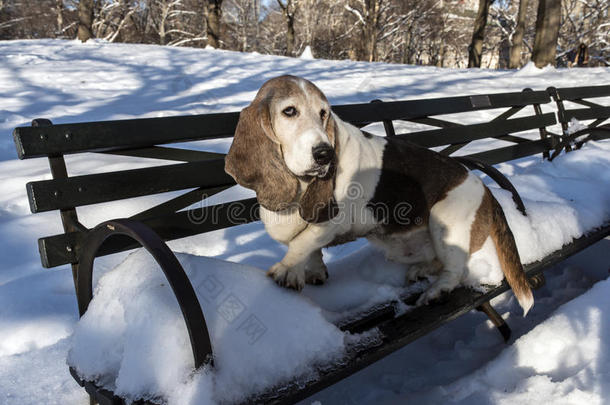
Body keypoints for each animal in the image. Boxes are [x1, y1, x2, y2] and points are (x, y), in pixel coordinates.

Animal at [224, 76, 532, 316]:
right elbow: (307, 246)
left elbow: (303, 241)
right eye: (289, 111)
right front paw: (311, 270)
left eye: (324, 113)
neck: (300, 184)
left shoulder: (333, 221)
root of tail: (487, 191)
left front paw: (288, 269)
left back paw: (436, 291)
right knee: (439, 262)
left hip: (443, 220)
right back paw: (422, 270)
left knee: (455, 271)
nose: (325, 154)